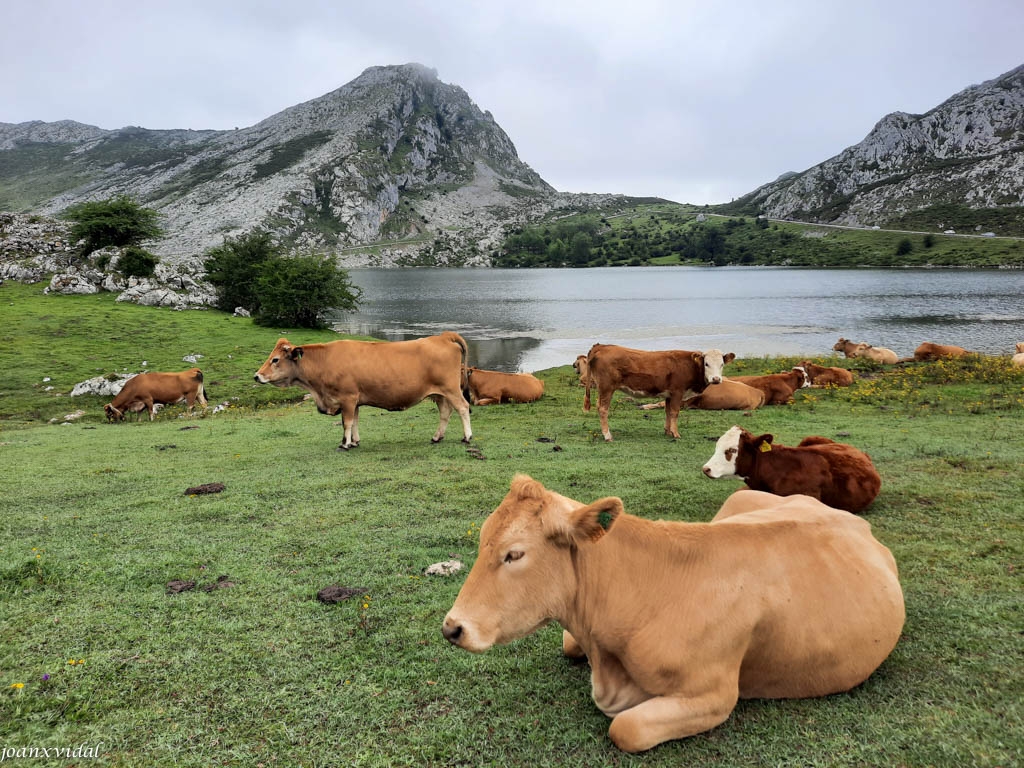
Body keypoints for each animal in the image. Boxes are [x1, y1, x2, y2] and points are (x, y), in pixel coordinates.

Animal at [253, 331, 468, 450]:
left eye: (275, 359)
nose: (257, 376)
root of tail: (443, 336)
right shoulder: (354, 401)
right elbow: (354, 421)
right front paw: (354, 442)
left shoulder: (347, 398)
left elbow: (346, 422)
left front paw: (345, 444)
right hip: (439, 394)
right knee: (445, 413)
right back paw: (437, 437)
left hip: (451, 389)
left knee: (463, 408)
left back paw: (467, 437)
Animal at [444, 479, 909, 753]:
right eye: (482, 539)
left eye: (514, 554)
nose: (453, 627)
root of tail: (844, 515)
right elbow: (569, 643)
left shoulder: (714, 695)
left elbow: (625, 729)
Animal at [581, 346, 733, 442]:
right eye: (706, 364)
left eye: (722, 364)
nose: (716, 379)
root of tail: (602, 346)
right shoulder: (677, 392)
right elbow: (675, 412)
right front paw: (675, 434)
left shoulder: (669, 394)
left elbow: (668, 412)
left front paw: (668, 431)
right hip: (606, 388)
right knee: (603, 409)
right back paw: (607, 436)